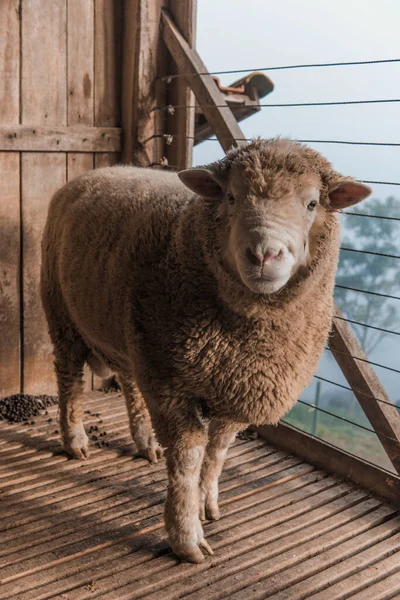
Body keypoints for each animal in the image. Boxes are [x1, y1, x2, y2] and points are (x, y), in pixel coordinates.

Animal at [41, 139, 372, 564]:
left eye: (313, 203)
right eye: (231, 197)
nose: (264, 255)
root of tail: (99, 171)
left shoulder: (237, 388)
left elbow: (216, 452)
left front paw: (206, 503)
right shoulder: (171, 384)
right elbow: (188, 459)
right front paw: (187, 537)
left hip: (132, 331)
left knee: (130, 383)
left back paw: (145, 441)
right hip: (63, 311)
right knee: (69, 378)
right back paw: (75, 440)